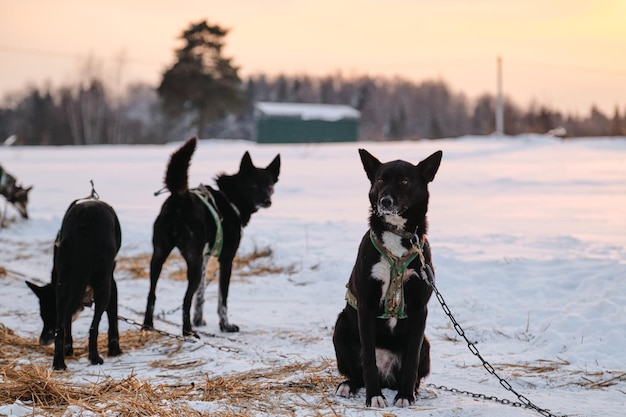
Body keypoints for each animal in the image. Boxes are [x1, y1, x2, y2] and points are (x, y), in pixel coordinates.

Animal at [26, 193, 122, 368]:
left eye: (44, 315)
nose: (43, 341)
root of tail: (86, 220)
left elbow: (67, 323)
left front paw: (68, 349)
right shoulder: (112, 283)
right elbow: (113, 317)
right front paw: (114, 350)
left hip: (63, 285)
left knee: (61, 327)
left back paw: (59, 363)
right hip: (103, 284)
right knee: (93, 326)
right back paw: (94, 358)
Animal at [143, 138, 280, 336]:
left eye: (269, 186)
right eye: (254, 185)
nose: (267, 201)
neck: (231, 199)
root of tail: (181, 197)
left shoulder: (205, 259)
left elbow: (200, 295)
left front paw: (199, 320)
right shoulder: (226, 260)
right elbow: (222, 300)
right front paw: (225, 325)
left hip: (159, 257)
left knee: (152, 294)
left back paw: (148, 325)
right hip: (192, 262)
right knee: (185, 299)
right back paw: (188, 332)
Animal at [334, 149, 442, 406]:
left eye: (404, 181)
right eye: (381, 180)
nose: (385, 201)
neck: (397, 236)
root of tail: (387, 378)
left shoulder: (419, 310)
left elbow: (411, 360)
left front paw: (405, 396)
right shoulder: (366, 306)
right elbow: (368, 361)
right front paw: (374, 397)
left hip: (426, 344)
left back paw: (413, 390)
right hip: (340, 325)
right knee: (357, 372)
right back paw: (349, 386)